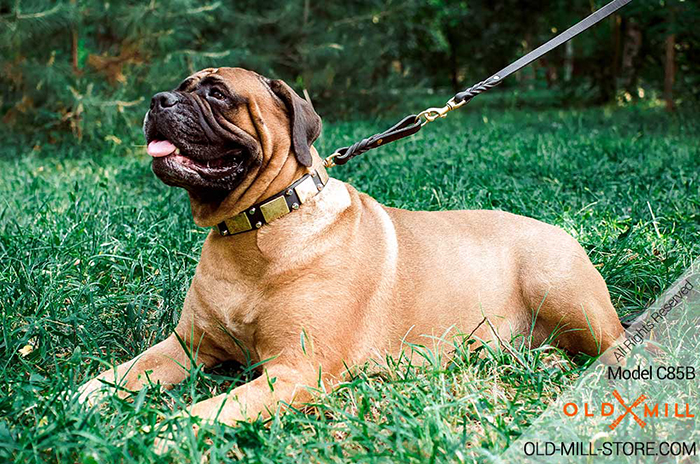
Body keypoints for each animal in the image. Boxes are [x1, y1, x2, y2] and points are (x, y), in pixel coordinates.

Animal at [79, 67, 628, 426]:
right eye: (177, 88)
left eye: (217, 93)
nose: (158, 100)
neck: (254, 230)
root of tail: (558, 229)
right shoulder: (188, 346)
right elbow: (124, 372)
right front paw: (80, 398)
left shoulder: (295, 370)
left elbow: (205, 412)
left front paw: (156, 436)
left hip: (563, 292)